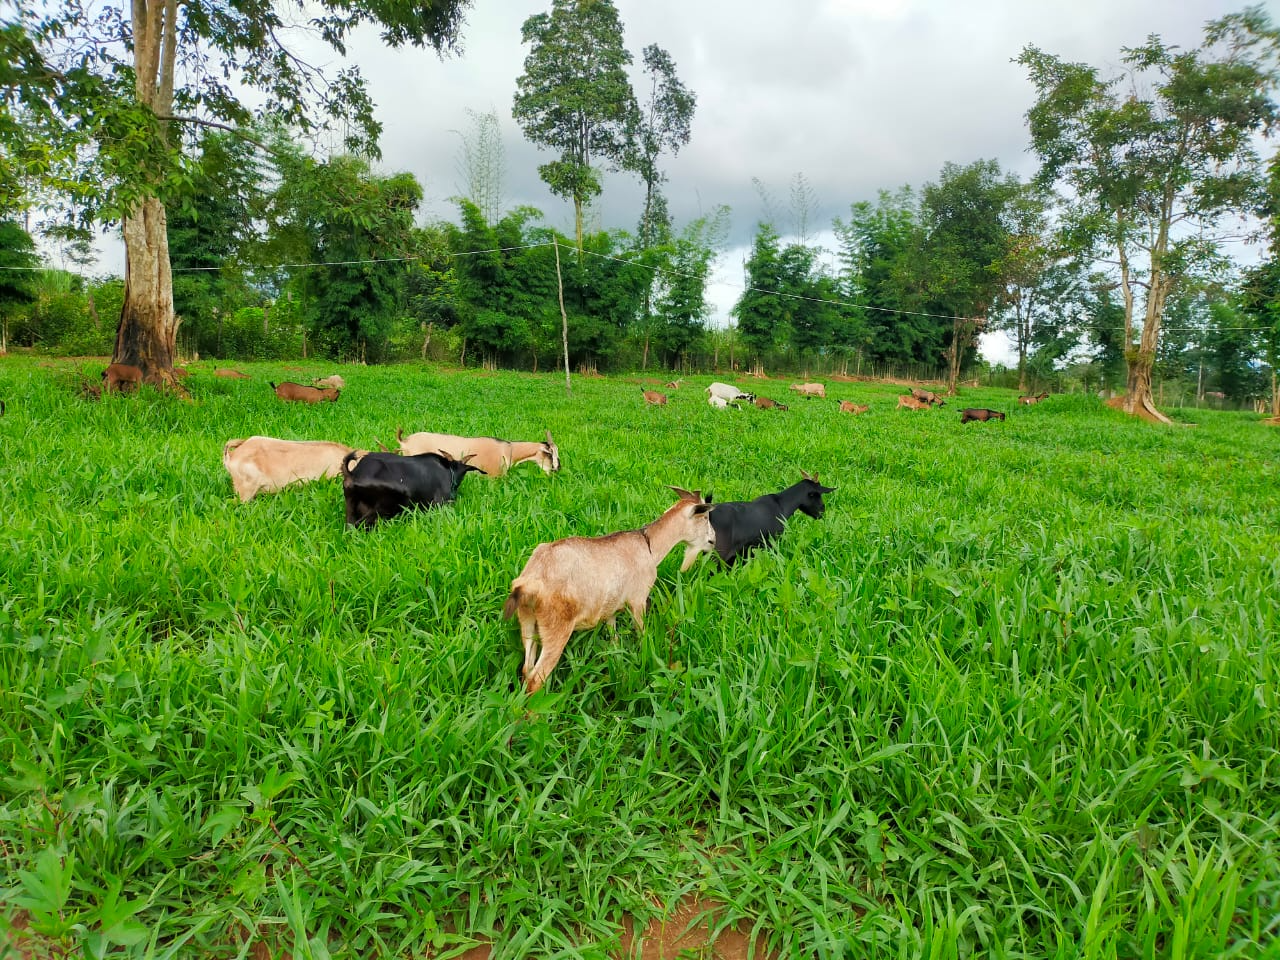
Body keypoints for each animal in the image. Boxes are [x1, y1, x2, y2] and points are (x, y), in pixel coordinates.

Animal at [503, 487, 715, 693]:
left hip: (527, 620)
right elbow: (641, 632)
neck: (649, 546)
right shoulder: (638, 600)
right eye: (705, 517)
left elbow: (614, 639)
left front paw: (617, 664)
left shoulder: (610, 608)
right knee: (536, 678)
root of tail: (530, 582)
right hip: (556, 627)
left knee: (526, 668)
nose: (713, 541)